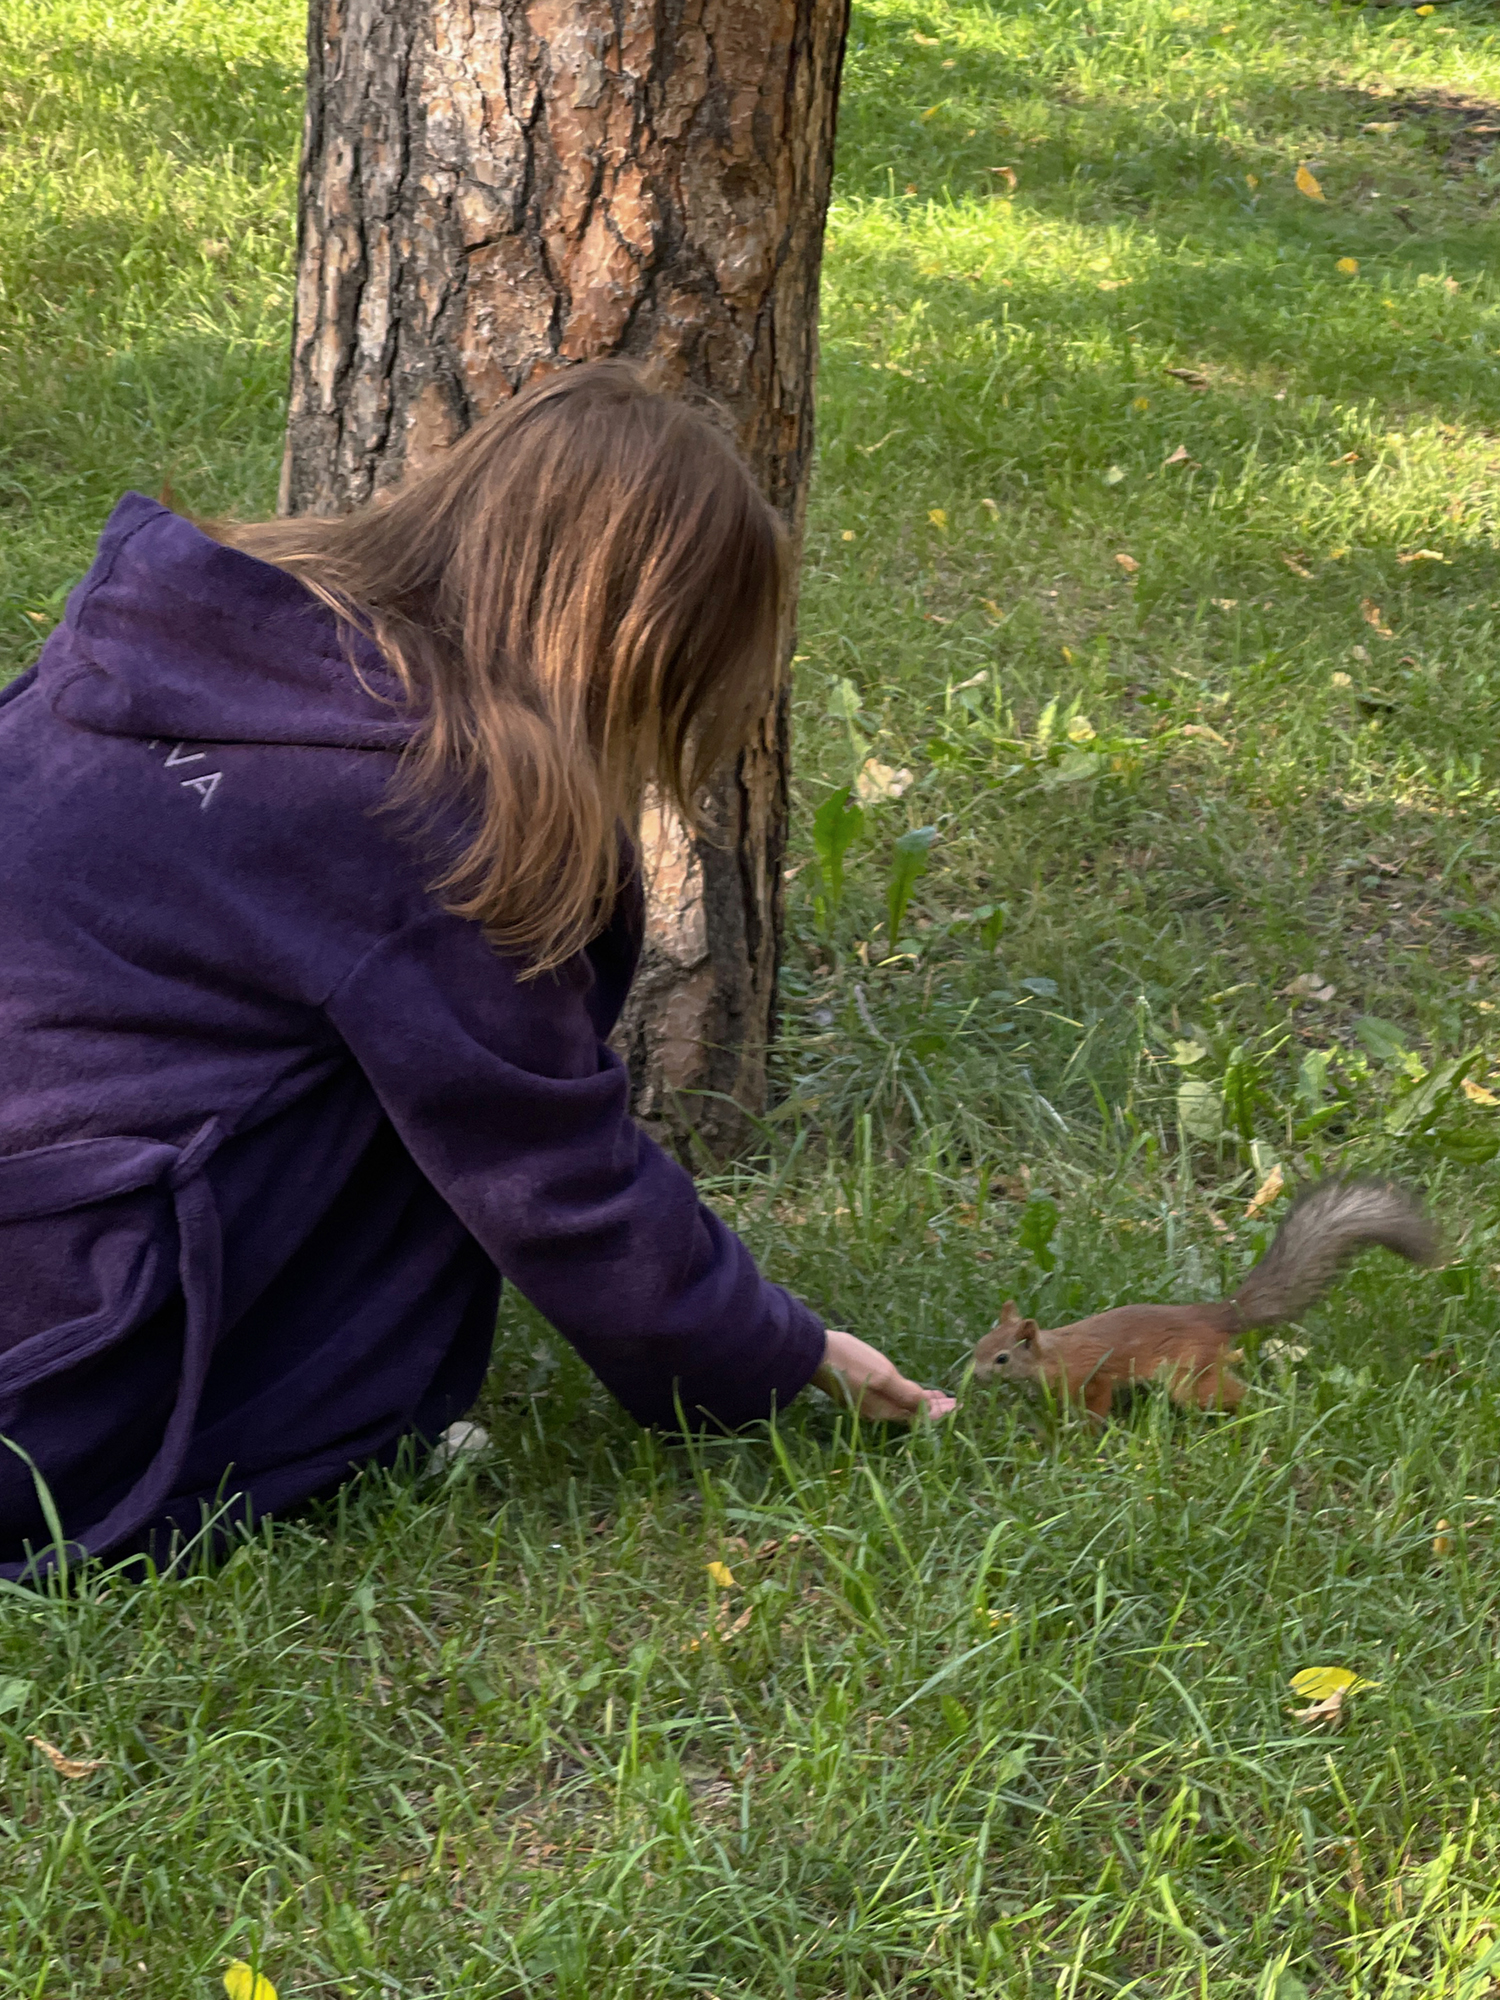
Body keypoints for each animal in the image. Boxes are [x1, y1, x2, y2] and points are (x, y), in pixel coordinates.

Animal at [968, 1168, 1440, 1424]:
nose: (975, 1375)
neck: (1051, 1354)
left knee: (1227, 1392)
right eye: (980, 1345)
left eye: (1002, 1357)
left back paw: (1253, 1411)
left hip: (1190, 1374)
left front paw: (1085, 1434)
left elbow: (1097, 1403)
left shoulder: (1092, 1375)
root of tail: (1215, 1316)